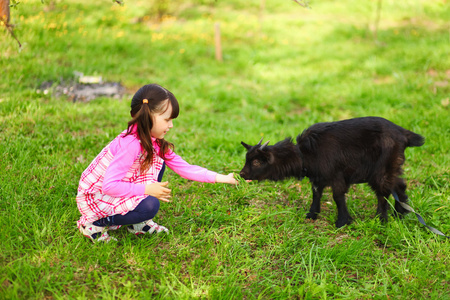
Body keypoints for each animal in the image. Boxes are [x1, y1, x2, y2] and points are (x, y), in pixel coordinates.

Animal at [241, 116, 424, 227]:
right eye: (247, 159)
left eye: (256, 161)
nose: (242, 174)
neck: (305, 154)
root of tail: (403, 134)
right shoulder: (318, 178)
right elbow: (316, 194)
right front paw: (312, 214)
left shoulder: (337, 176)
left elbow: (337, 197)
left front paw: (342, 221)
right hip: (393, 165)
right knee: (399, 186)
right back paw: (400, 213)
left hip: (380, 169)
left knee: (383, 192)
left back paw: (381, 219)